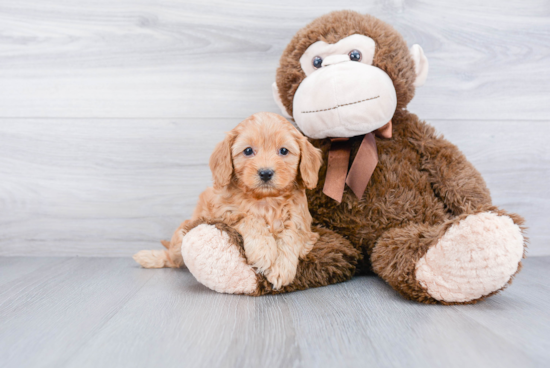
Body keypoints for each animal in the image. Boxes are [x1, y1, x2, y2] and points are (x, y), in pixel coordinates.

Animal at [134, 110, 324, 288]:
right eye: (248, 151)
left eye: (284, 151)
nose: (265, 173)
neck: (265, 200)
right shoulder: (225, 213)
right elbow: (250, 219)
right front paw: (263, 250)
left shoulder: (302, 223)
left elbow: (291, 235)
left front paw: (281, 269)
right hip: (182, 235)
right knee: (172, 258)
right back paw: (148, 257)